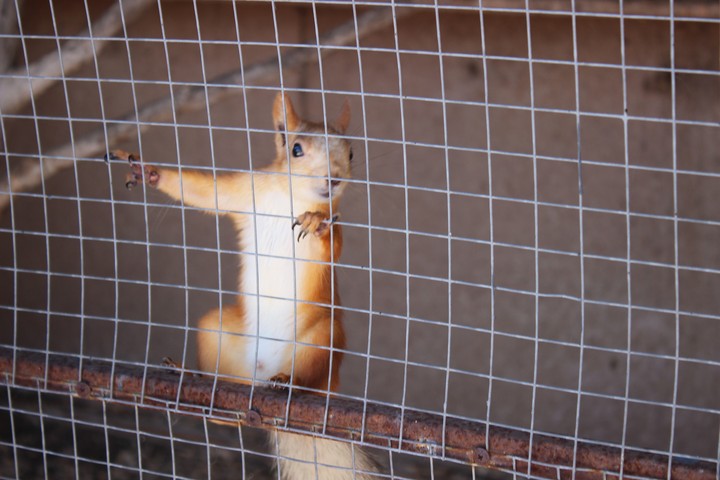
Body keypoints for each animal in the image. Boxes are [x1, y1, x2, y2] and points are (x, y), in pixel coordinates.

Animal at [107, 93, 377, 479]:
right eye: (296, 149)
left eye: (352, 152)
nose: (334, 179)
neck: (291, 197)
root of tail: (260, 378)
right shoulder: (245, 192)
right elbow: (208, 193)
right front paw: (150, 172)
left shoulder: (331, 229)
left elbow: (332, 245)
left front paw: (315, 222)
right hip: (216, 334)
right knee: (227, 415)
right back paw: (192, 377)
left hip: (321, 340)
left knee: (308, 377)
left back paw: (288, 382)